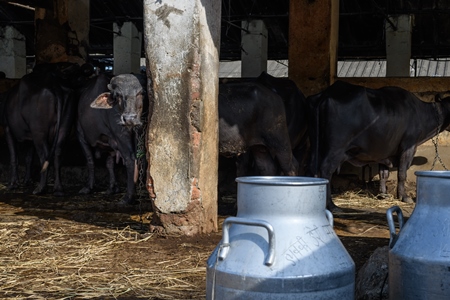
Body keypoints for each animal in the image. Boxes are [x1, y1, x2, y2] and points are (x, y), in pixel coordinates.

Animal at [2, 62, 89, 196]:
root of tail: (54, 84)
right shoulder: (29, 137)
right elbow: (28, 158)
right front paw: (27, 180)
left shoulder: (8, 129)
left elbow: (14, 157)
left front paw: (13, 184)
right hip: (64, 128)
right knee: (58, 154)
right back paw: (58, 189)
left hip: (39, 131)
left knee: (44, 155)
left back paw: (40, 188)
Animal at [77, 72, 148, 204]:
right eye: (118, 95)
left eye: (141, 92)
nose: (129, 118)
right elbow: (109, 163)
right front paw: (112, 187)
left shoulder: (80, 135)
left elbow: (90, 161)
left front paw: (89, 187)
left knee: (130, 159)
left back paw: (128, 197)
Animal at [310, 81, 450, 210]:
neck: (419, 112)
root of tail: (327, 94)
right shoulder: (408, 146)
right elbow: (402, 173)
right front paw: (404, 196)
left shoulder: (385, 151)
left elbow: (384, 174)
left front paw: (383, 194)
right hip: (335, 150)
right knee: (326, 171)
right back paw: (331, 205)